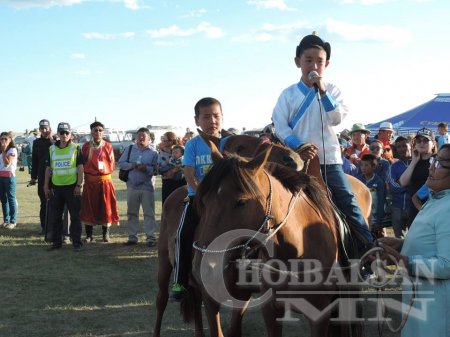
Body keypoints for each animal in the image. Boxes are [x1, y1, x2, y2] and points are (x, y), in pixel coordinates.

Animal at [192, 147, 364, 336]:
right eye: (204, 201)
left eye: (241, 201)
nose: (203, 268)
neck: (297, 251)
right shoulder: (271, 310)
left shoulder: (320, 316)